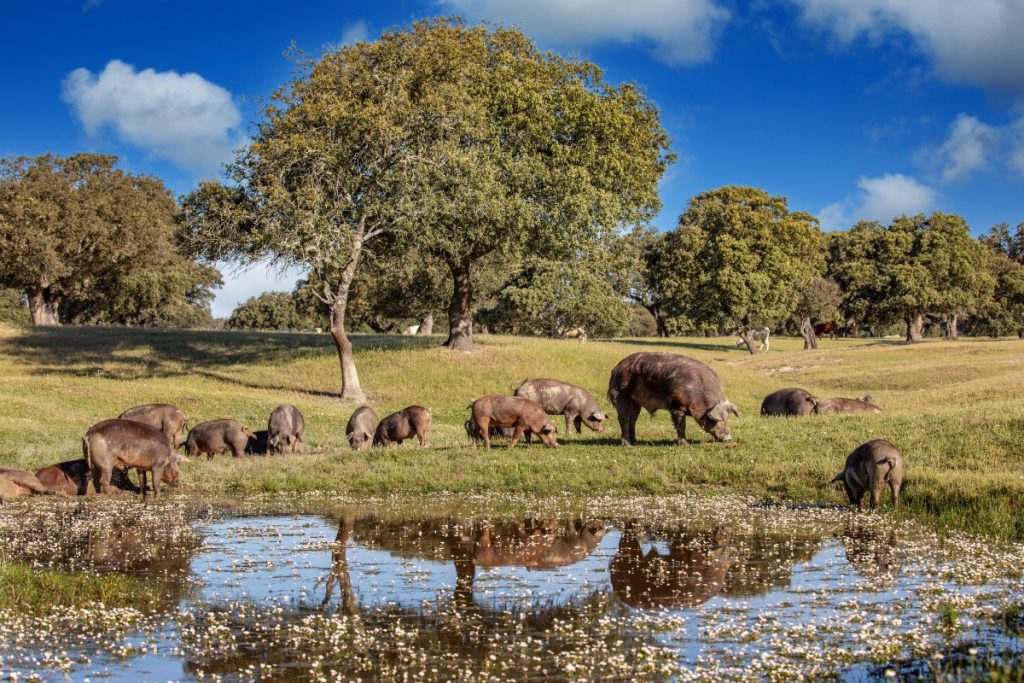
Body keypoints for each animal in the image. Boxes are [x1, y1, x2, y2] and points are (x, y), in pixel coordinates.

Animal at [607, 352, 740, 446]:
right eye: (713, 420)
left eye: (727, 419)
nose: (728, 438)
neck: (697, 394)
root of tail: (615, 368)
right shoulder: (677, 404)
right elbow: (680, 424)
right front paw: (685, 444)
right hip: (621, 394)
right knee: (623, 418)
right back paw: (627, 444)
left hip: (636, 402)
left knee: (632, 419)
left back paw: (635, 442)